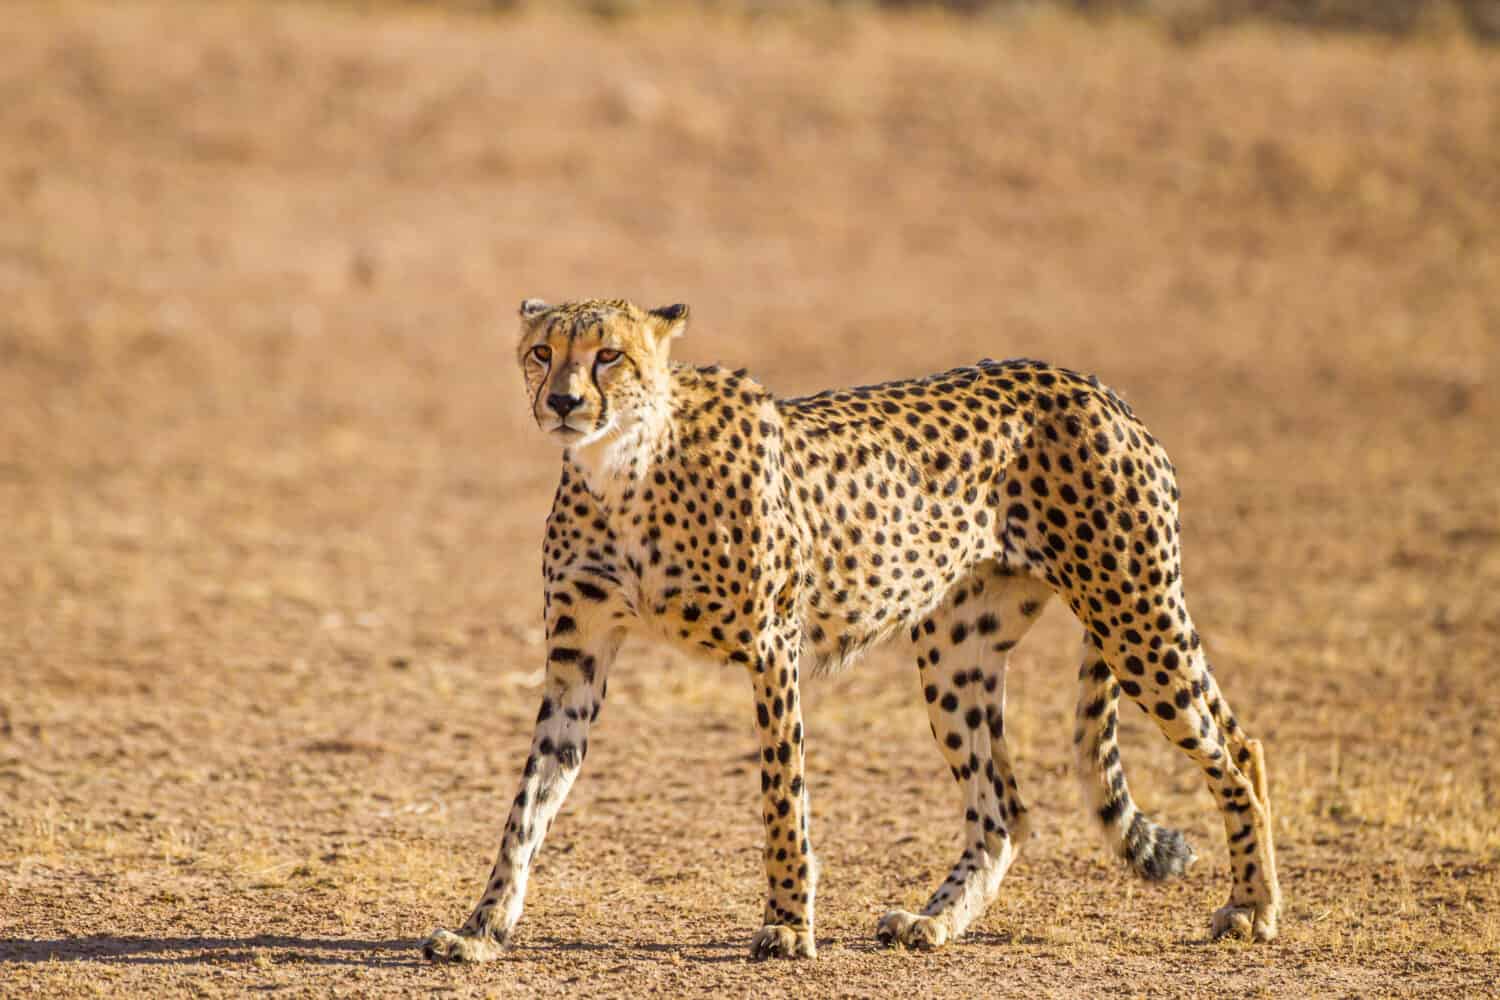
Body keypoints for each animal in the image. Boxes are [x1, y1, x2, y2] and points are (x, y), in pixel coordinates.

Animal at [420, 296, 1278, 959]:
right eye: (542, 352)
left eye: (609, 356)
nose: (563, 403)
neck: (624, 468)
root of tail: (1093, 386)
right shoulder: (577, 663)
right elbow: (528, 803)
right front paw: (482, 928)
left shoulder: (773, 647)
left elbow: (782, 794)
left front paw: (787, 925)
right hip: (957, 651)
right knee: (1007, 808)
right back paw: (935, 923)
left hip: (1134, 612)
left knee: (1237, 750)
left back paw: (1255, 907)